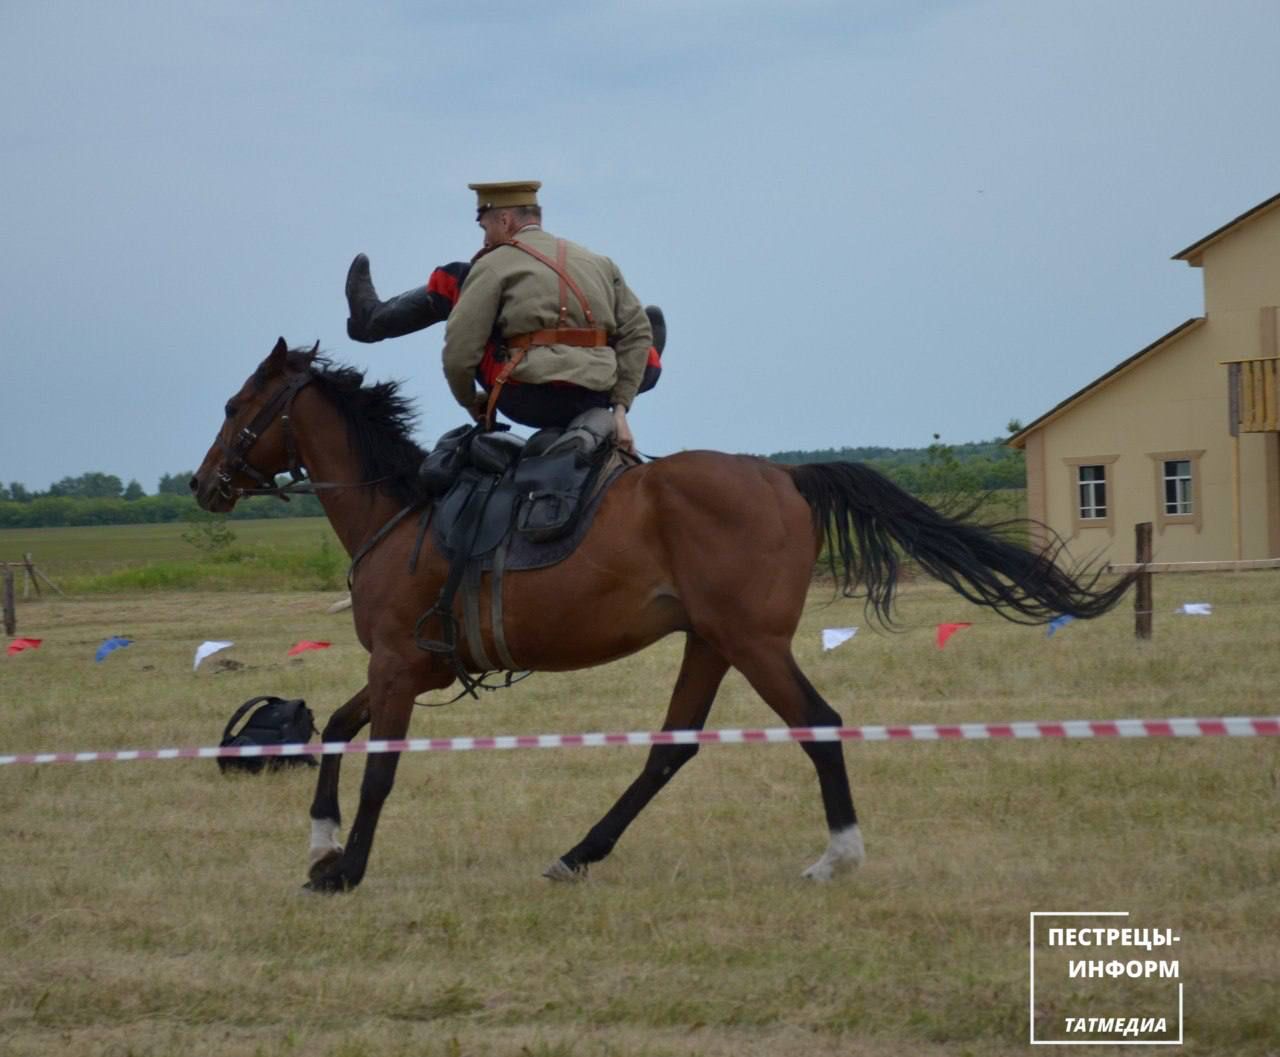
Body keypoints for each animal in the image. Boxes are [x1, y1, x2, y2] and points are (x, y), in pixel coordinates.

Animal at [189, 340, 1131, 890]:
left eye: (236, 407)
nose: (202, 484)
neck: (401, 509)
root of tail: (785, 476)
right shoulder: (406, 667)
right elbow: (335, 732)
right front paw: (320, 843)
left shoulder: (394, 666)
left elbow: (376, 764)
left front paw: (345, 866)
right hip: (710, 643)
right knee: (670, 749)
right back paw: (580, 852)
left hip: (752, 644)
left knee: (818, 723)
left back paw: (839, 854)